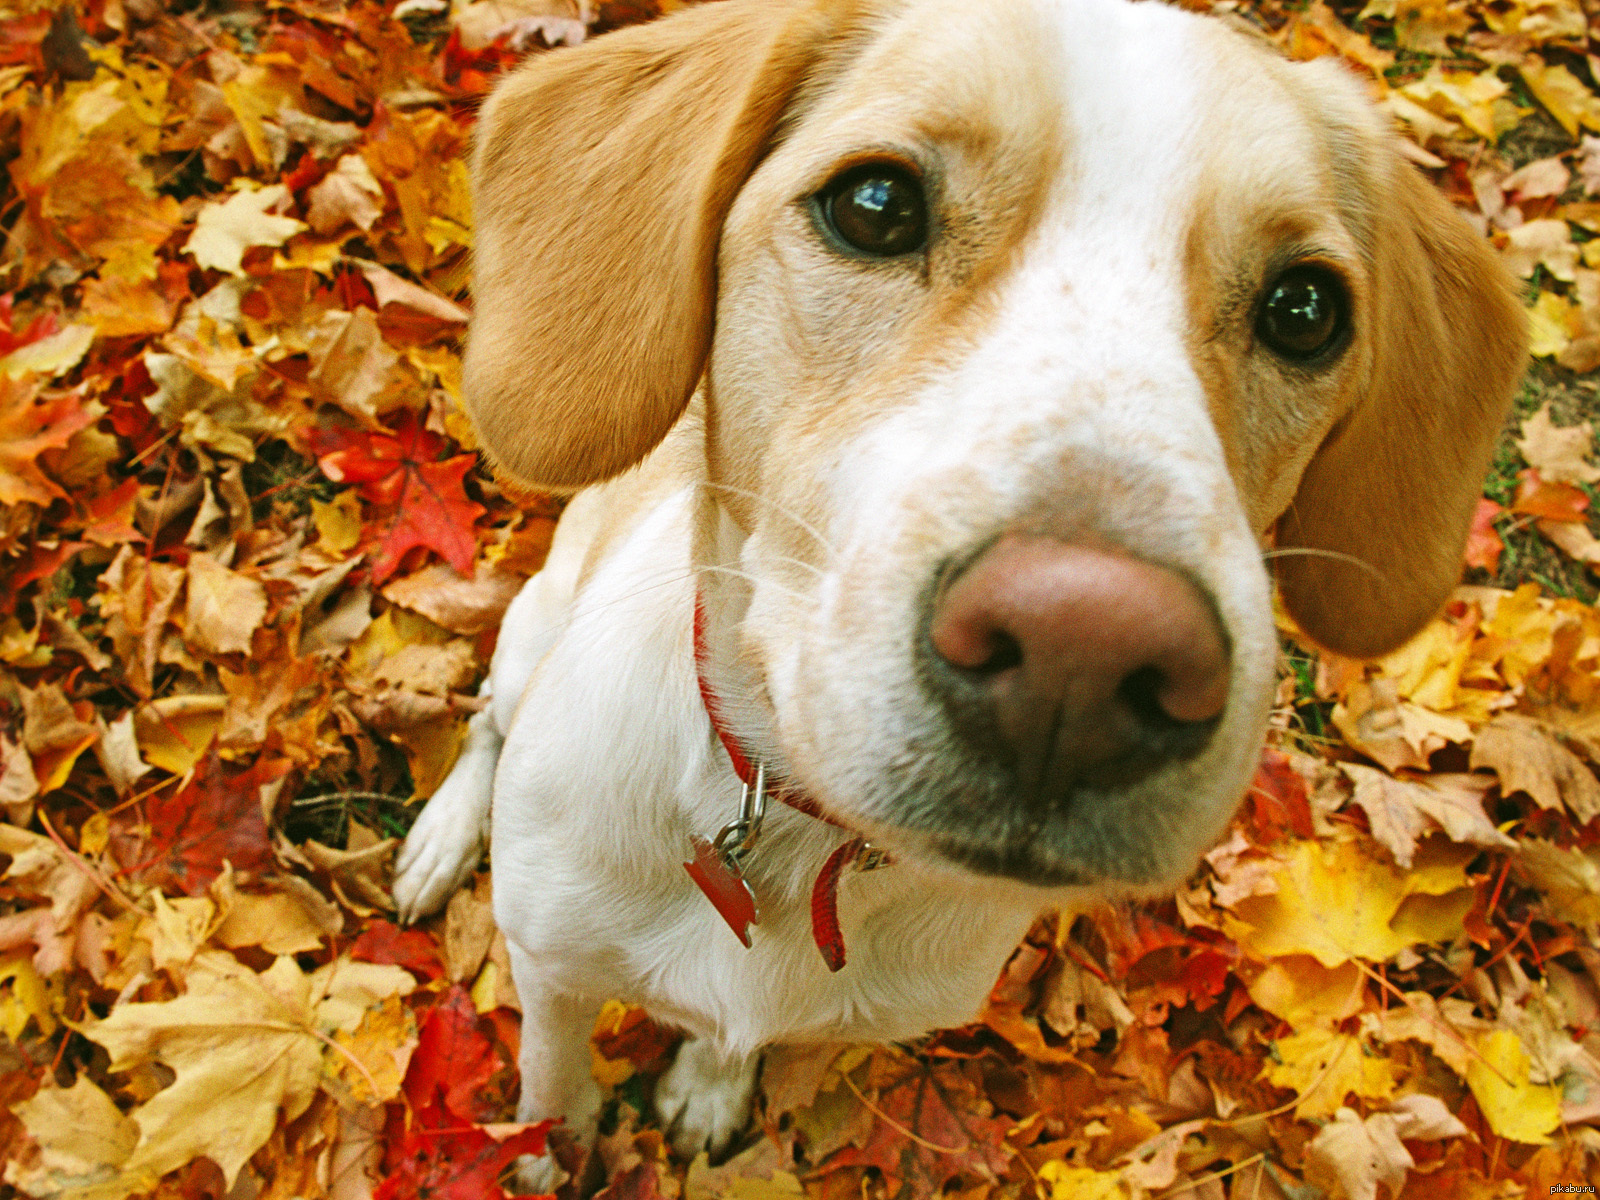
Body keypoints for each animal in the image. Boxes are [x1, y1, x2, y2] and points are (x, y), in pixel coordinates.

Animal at [387, 0, 1523, 1184]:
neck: (795, 845)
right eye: (875, 205)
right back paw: (439, 841)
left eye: (1306, 310)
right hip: (530, 628)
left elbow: (728, 1045)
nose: (1081, 655)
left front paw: (708, 1086)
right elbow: (553, 1092)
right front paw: (544, 1159)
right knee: (488, 722)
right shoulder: (552, 971)